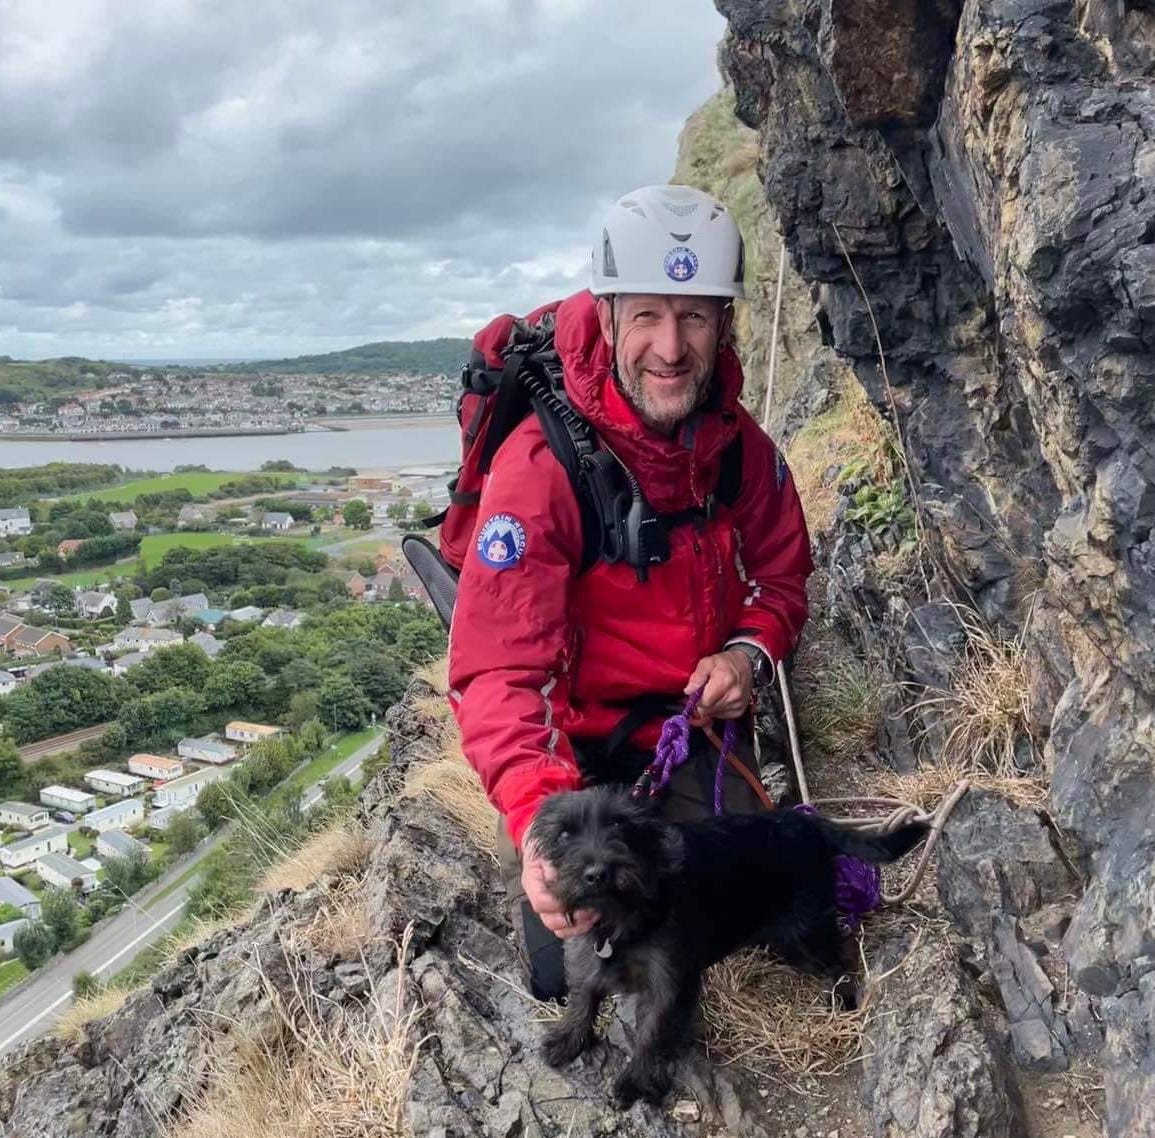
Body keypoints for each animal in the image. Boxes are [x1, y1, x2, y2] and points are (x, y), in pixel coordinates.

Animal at [531, 785, 928, 1104]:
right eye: (563, 835)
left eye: (620, 826)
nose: (597, 873)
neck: (621, 917)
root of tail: (810, 824)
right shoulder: (586, 958)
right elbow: (582, 999)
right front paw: (567, 1039)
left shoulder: (668, 985)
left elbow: (651, 1033)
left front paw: (636, 1080)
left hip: (805, 932)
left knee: (840, 958)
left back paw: (843, 1001)